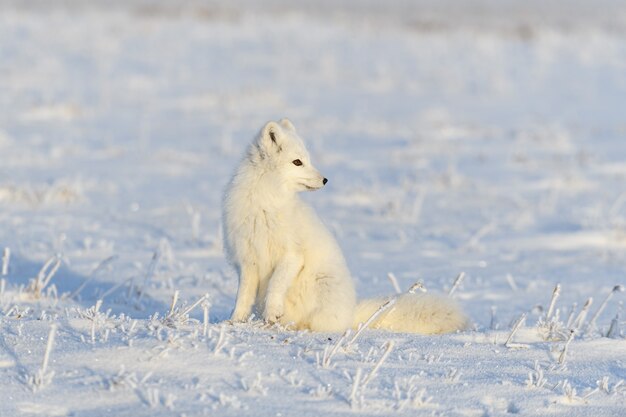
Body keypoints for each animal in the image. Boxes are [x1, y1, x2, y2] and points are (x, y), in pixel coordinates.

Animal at [222, 118, 466, 334]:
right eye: (297, 162)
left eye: (307, 159)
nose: (325, 180)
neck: (265, 205)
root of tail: (351, 314)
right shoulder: (247, 259)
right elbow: (242, 296)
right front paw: (234, 321)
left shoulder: (292, 254)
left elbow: (276, 284)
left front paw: (271, 312)